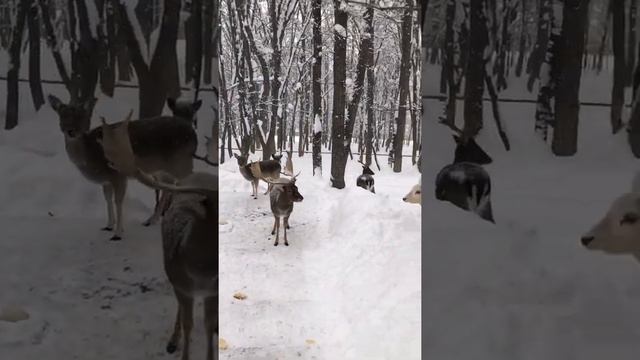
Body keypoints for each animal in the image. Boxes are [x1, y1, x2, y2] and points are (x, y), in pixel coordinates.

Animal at [100, 112, 220, 360]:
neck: (201, 273)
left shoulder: (213, 292)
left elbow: (207, 327)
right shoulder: (181, 285)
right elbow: (189, 325)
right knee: (181, 313)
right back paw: (173, 340)